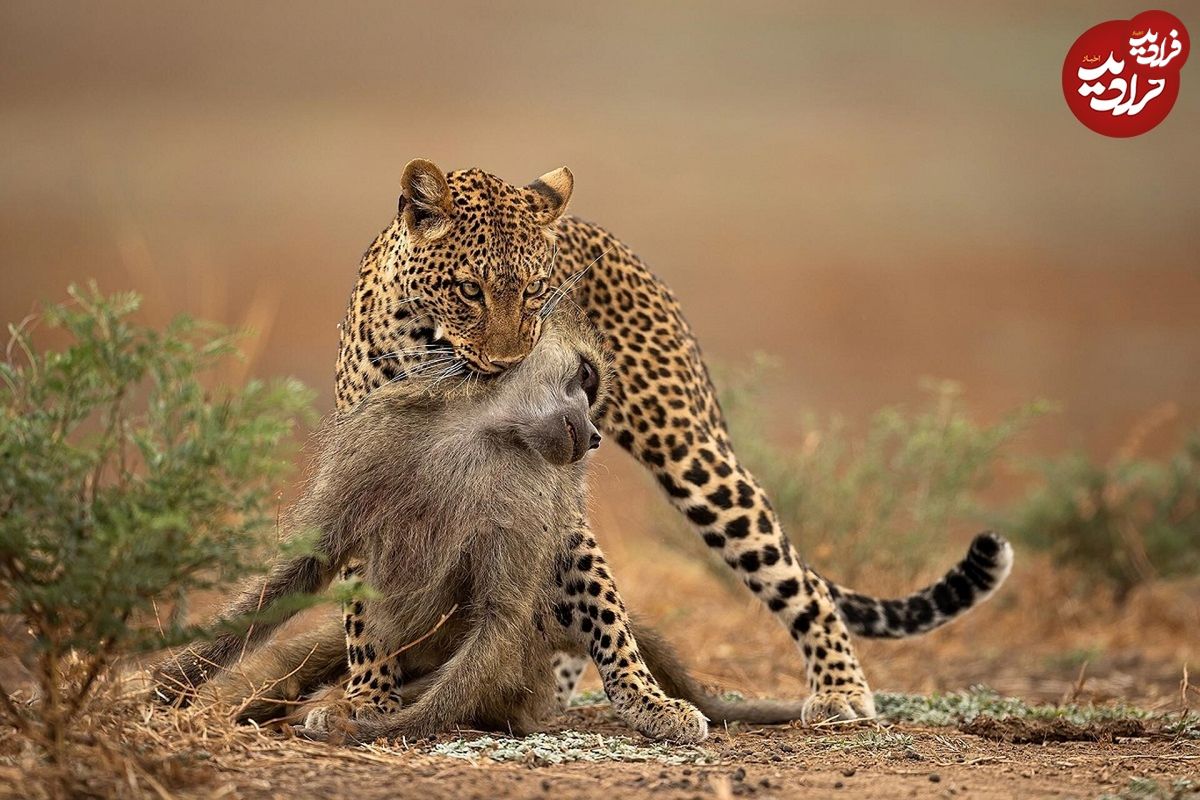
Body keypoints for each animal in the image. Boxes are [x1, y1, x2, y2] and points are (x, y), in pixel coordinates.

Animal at [328, 159, 1012, 724]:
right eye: (470, 290)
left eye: (536, 291)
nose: (509, 363)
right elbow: (365, 604)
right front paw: (366, 697)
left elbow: (607, 608)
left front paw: (651, 703)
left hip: (689, 454)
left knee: (805, 583)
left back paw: (840, 690)